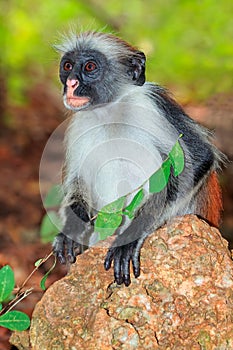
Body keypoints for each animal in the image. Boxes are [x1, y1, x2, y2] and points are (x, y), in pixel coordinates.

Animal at [53, 31, 224, 286]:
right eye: (67, 66)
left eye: (90, 67)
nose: (71, 83)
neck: (110, 112)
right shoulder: (79, 123)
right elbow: (78, 179)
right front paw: (70, 231)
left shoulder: (150, 104)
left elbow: (201, 156)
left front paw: (131, 238)